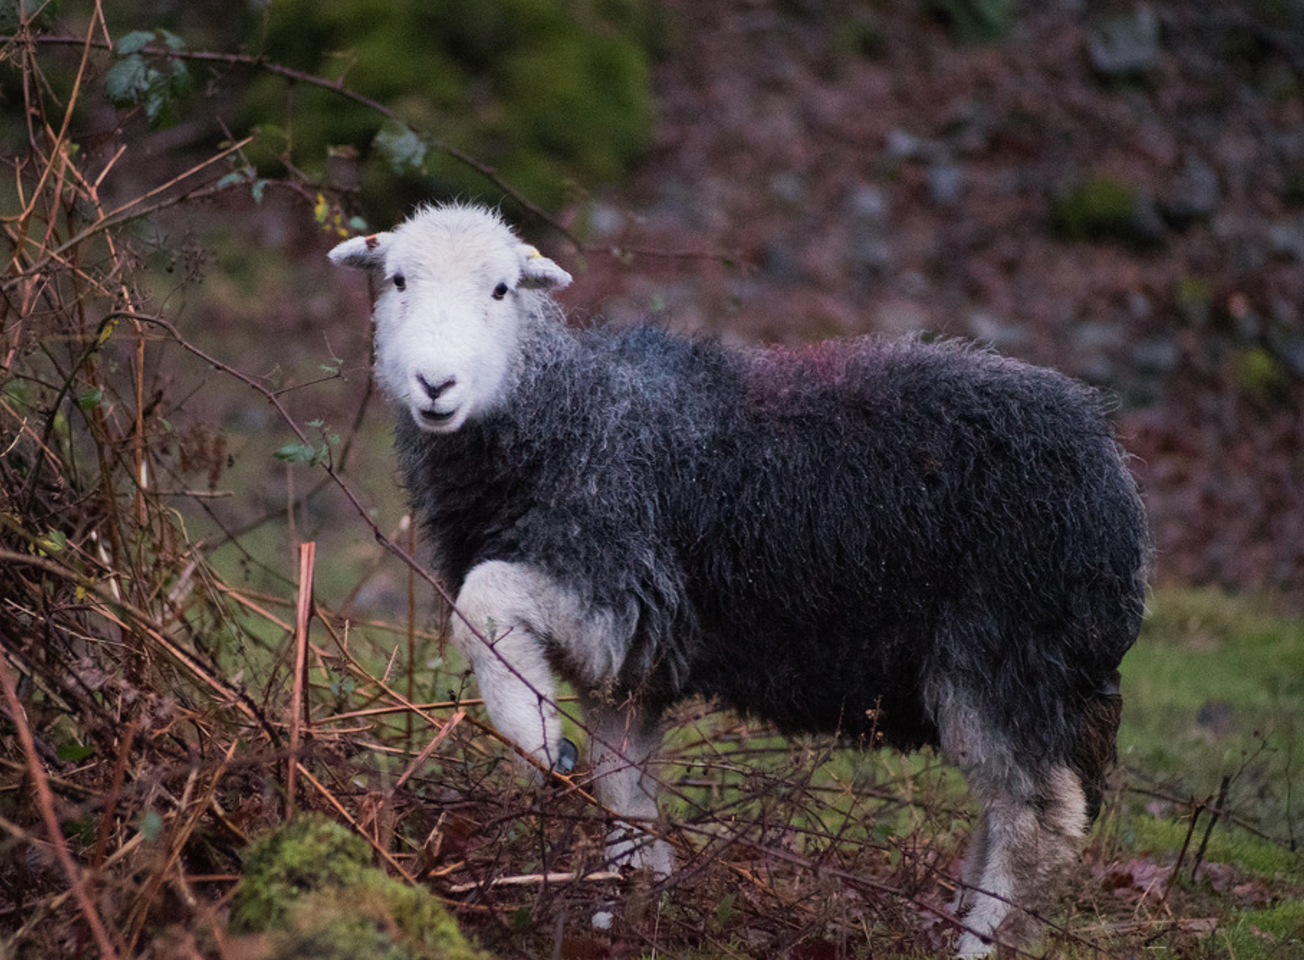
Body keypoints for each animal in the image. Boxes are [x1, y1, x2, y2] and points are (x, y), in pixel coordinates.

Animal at [333, 200, 1152, 954]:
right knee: (1003, 809)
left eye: (502, 289)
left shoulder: (620, 585)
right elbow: (622, 786)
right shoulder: (630, 663)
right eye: (396, 280)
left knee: (1040, 821)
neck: (567, 416)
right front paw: (633, 902)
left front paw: (534, 735)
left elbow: (484, 601)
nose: (435, 384)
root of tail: (1115, 478)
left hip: (1007, 654)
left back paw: (981, 941)